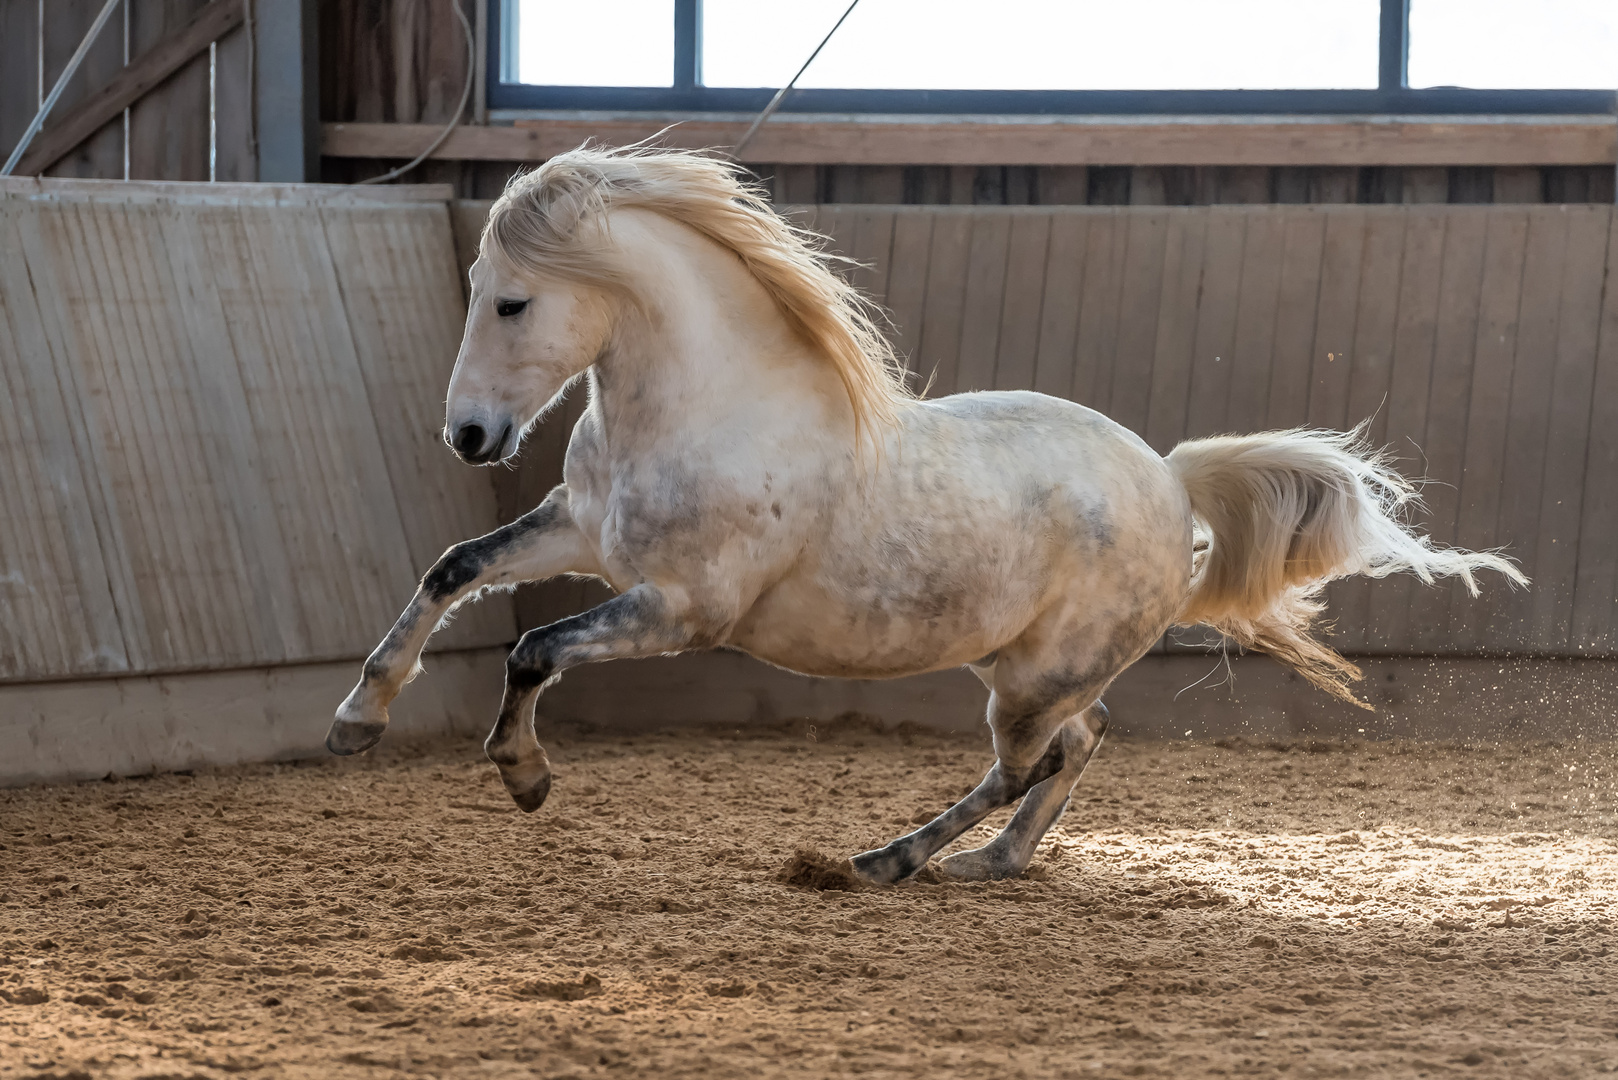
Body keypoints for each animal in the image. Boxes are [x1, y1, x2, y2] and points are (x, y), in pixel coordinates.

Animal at [325, 143, 1514, 887]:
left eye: (511, 300)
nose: (469, 436)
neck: (710, 407)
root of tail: (1171, 482)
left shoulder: (680, 610)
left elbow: (531, 650)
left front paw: (525, 777)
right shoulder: (580, 534)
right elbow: (451, 568)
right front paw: (355, 721)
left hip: (1033, 674)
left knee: (1026, 763)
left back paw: (882, 863)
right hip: (1020, 663)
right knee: (1077, 745)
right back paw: (993, 863)